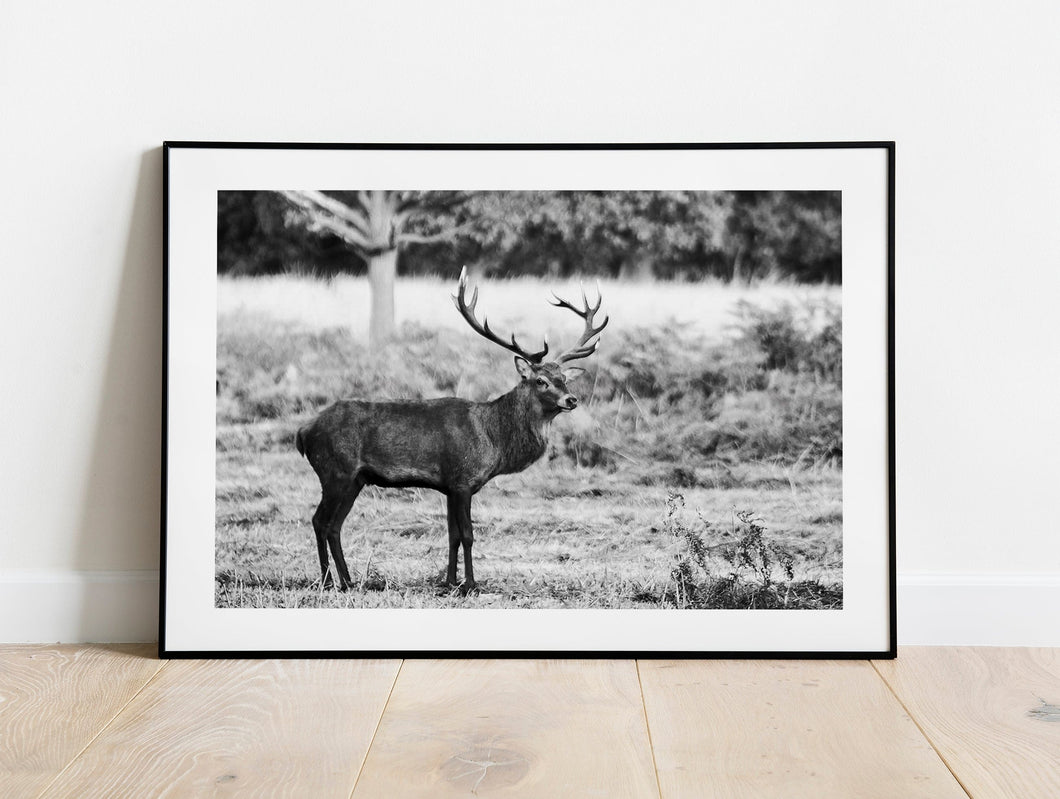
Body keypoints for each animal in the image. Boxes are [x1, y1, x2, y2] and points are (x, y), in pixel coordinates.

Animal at [295, 268, 608, 594]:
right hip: (335, 471)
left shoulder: (447, 485)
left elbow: (452, 535)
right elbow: (468, 535)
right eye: (540, 381)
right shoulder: (462, 479)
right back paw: (327, 581)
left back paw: (348, 581)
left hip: (355, 479)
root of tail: (303, 432)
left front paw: (449, 582)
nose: (571, 399)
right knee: (319, 521)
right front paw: (471, 584)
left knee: (335, 525)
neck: (493, 438)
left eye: (564, 379)